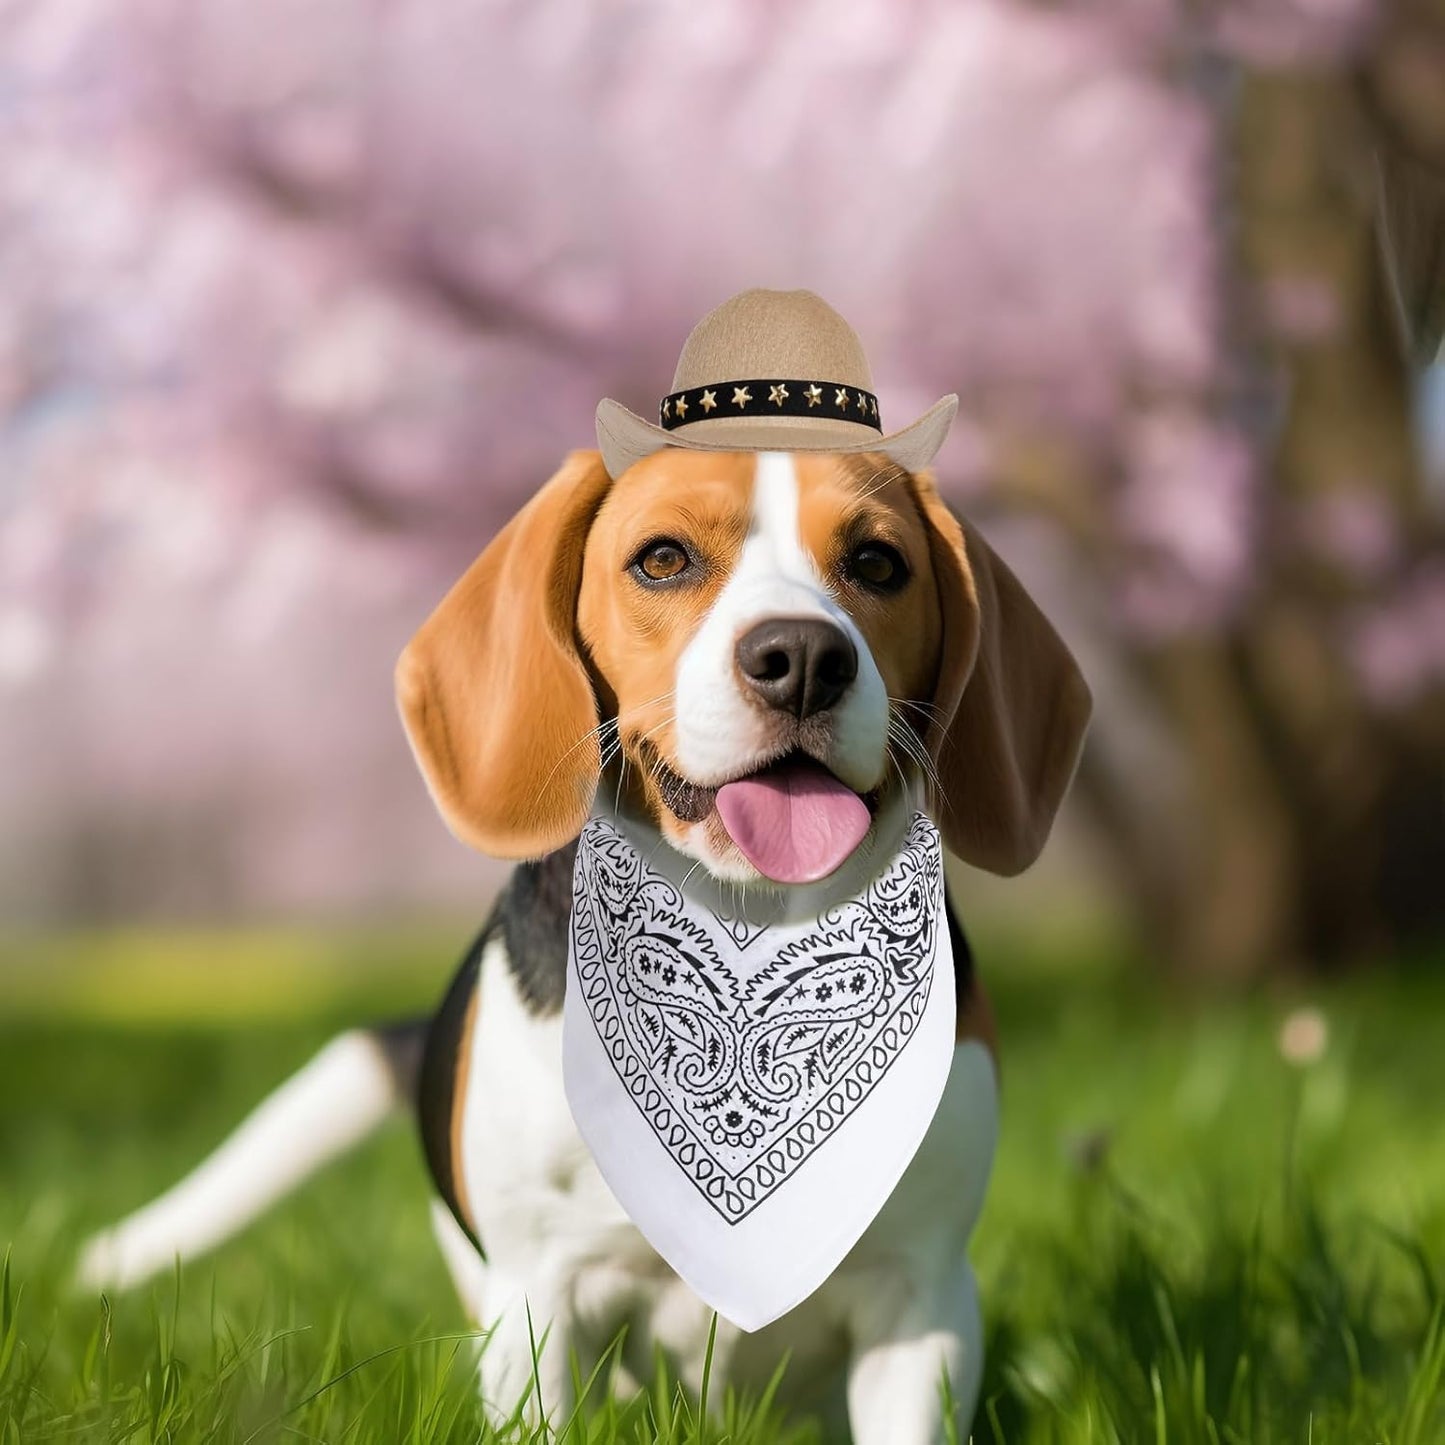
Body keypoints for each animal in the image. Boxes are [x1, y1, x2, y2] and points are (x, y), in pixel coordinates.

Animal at [82, 447, 1086, 1445]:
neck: (749, 927)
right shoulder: (539, 1297)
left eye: (878, 564)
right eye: (662, 558)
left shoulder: (919, 1298)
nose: (802, 658)